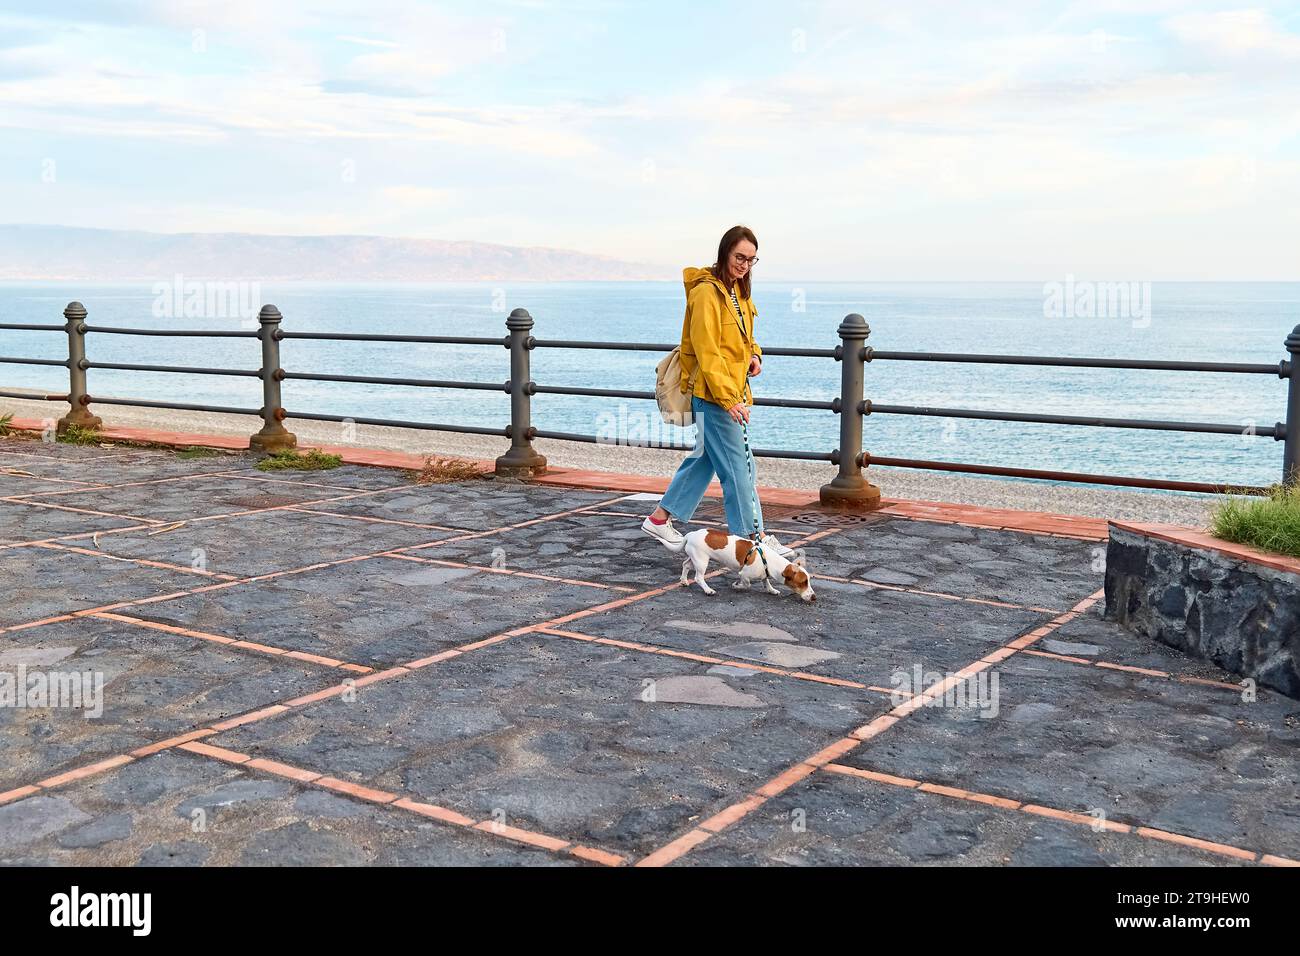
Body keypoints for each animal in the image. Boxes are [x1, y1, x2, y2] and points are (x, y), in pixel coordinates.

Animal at [665, 528, 816, 600]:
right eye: (803, 583)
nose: (814, 597)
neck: (769, 560)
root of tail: (690, 534)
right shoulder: (744, 574)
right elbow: (747, 584)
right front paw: (737, 586)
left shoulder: (764, 573)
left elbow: (766, 581)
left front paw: (771, 590)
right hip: (702, 561)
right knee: (698, 578)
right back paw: (708, 590)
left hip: (695, 558)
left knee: (685, 564)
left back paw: (684, 580)